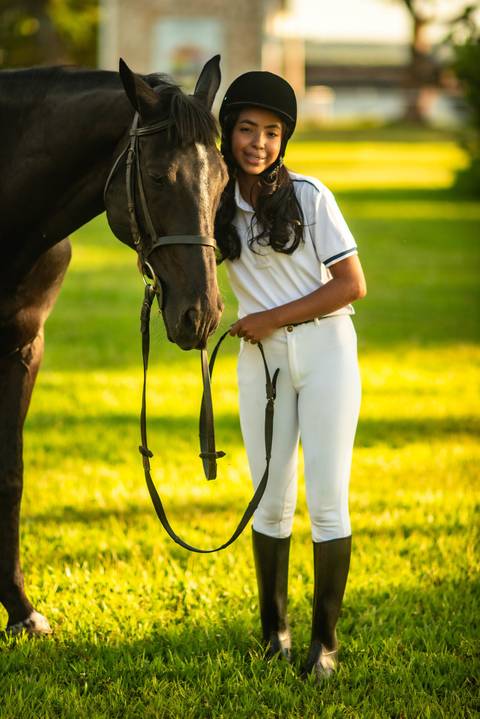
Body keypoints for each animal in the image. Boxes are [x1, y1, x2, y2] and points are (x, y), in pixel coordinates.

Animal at [0, 56, 228, 635]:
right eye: (156, 177)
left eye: (221, 179)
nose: (202, 313)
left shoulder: (23, 349)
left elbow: (10, 475)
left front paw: (20, 610)